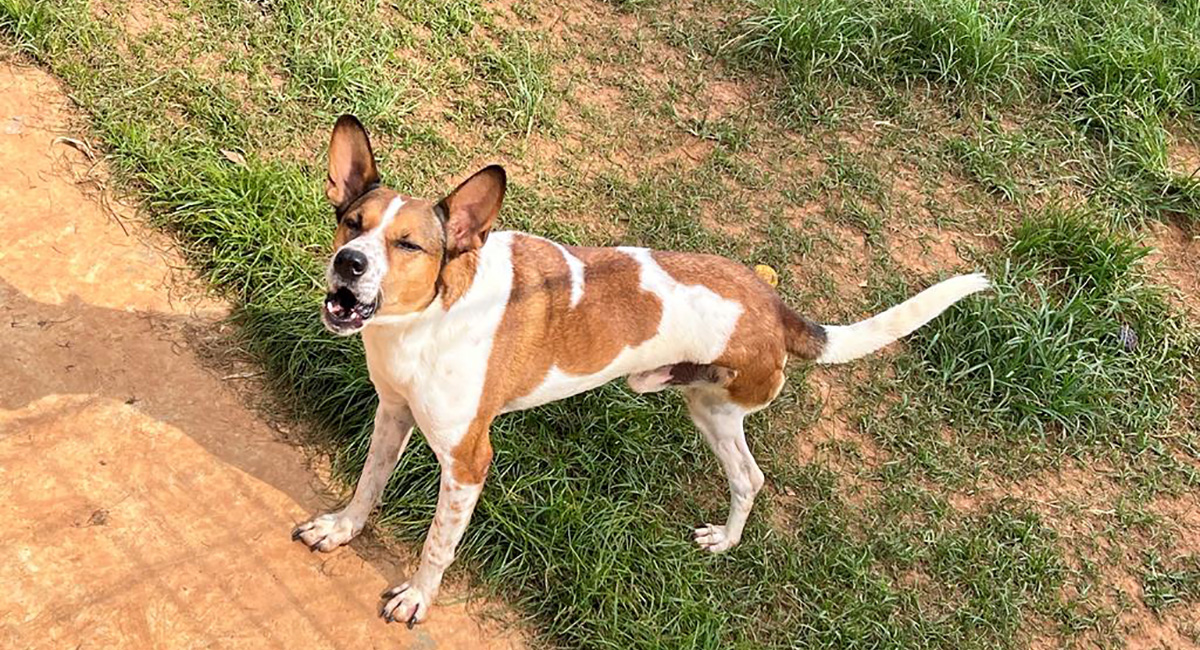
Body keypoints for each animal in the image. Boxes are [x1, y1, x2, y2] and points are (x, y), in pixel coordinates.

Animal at [291, 115, 990, 627]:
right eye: (351, 224)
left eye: (408, 245)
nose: (349, 264)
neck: (427, 319)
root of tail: (773, 303)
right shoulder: (393, 413)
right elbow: (368, 485)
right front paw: (341, 529)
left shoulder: (468, 460)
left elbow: (439, 542)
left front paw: (417, 596)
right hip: (708, 409)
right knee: (751, 477)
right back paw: (726, 541)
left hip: (722, 407)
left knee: (752, 477)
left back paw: (726, 540)